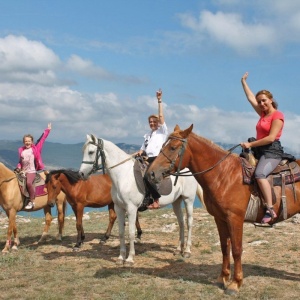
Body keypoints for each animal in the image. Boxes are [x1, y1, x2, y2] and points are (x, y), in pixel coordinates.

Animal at [78, 134, 204, 264]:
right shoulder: (119, 208)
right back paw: (179, 249)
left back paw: (187, 251)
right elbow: (121, 233)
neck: (123, 176)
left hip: (188, 199)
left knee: (189, 222)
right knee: (181, 222)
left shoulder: (132, 208)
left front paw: (129, 258)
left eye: (91, 152)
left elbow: (131, 233)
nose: (81, 174)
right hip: (176, 201)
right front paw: (121, 257)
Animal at [146, 125, 300, 296]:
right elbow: (224, 247)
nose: (151, 173)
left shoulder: (235, 219)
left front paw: (235, 283)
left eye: (173, 147)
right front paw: (223, 278)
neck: (224, 175)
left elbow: (237, 250)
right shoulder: (220, 218)